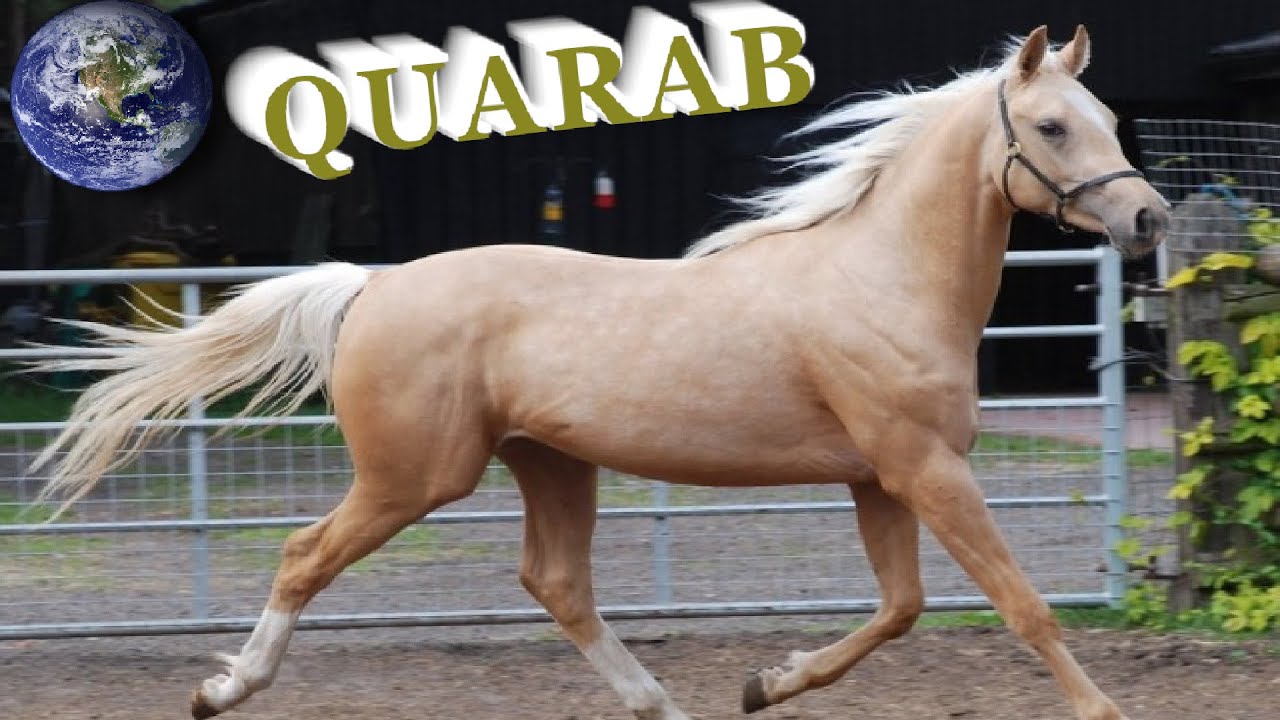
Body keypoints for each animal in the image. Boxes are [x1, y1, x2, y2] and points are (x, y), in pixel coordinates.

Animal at [28, 24, 1169, 720]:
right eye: (1053, 126)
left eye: (1112, 122)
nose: (1147, 219)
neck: (879, 276)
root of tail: (370, 286)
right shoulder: (923, 467)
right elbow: (1018, 602)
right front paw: (1103, 708)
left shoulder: (878, 478)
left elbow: (900, 608)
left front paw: (763, 683)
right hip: (414, 477)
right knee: (306, 556)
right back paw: (220, 689)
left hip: (548, 462)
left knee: (557, 584)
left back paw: (660, 701)